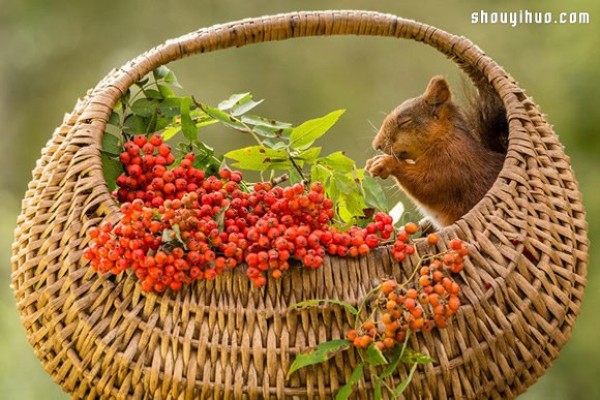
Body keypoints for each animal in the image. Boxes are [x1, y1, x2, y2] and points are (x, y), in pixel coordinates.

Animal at [366, 76, 506, 230]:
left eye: (405, 121)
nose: (377, 145)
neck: (443, 140)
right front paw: (372, 162)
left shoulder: (452, 166)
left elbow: (426, 184)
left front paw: (384, 163)